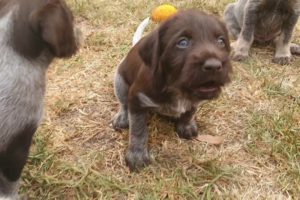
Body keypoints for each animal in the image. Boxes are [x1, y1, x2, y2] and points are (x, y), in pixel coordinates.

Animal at [112, 9, 232, 172]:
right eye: (183, 43)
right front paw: (137, 154)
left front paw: (186, 125)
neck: (176, 89)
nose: (214, 66)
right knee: (123, 102)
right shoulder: (137, 99)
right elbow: (138, 129)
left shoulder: (194, 101)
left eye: (221, 41)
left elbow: (189, 111)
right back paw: (122, 116)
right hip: (119, 80)